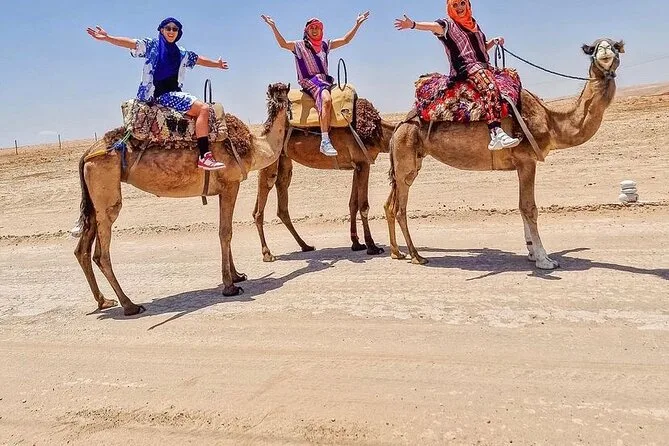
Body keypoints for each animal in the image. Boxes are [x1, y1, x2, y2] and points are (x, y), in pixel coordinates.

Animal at [74, 83, 291, 316]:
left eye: (285, 96)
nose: (283, 104)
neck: (254, 147)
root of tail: (88, 152)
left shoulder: (223, 189)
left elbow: (225, 230)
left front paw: (237, 275)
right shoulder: (231, 184)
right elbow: (226, 233)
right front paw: (230, 286)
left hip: (94, 198)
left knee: (83, 249)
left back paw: (104, 301)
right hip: (106, 190)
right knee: (101, 252)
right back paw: (130, 305)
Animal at [253, 98, 396, 262]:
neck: (378, 133)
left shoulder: (357, 165)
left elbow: (353, 204)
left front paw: (356, 244)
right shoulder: (363, 164)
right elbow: (363, 205)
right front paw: (372, 246)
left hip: (283, 161)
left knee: (281, 199)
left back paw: (305, 246)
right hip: (270, 160)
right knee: (262, 202)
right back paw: (267, 253)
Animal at [385, 39, 624, 269]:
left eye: (616, 46)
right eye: (592, 48)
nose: (605, 50)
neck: (551, 121)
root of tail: (399, 126)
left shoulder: (520, 164)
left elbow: (521, 207)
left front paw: (531, 253)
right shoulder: (527, 160)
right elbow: (529, 207)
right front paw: (544, 260)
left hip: (410, 162)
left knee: (392, 203)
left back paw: (399, 253)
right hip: (405, 157)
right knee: (400, 208)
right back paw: (416, 256)